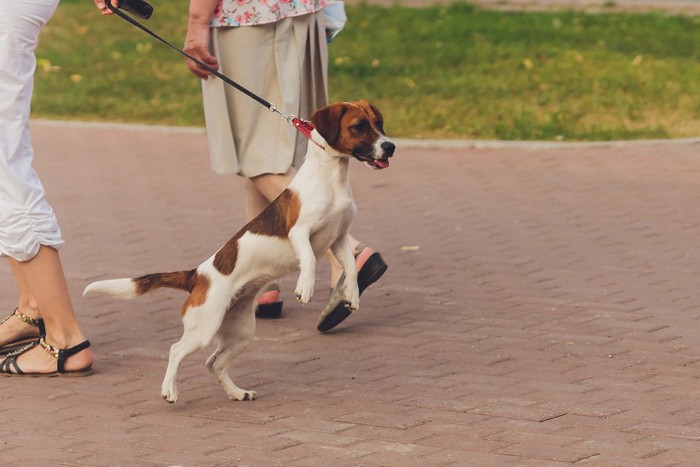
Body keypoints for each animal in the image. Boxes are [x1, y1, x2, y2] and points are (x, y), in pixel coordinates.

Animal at [83, 98, 394, 402]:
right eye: (359, 126)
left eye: (378, 123)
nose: (390, 146)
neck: (330, 178)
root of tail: (197, 275)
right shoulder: (299, 232)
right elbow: (308, 258)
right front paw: (305, 287)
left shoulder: (338, 238)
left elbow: (351, 267)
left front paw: (351, 294)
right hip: (203, 328)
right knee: (176, 350)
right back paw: (170, 389)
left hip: (240, 333)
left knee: (214, 363)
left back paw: (236, 392)